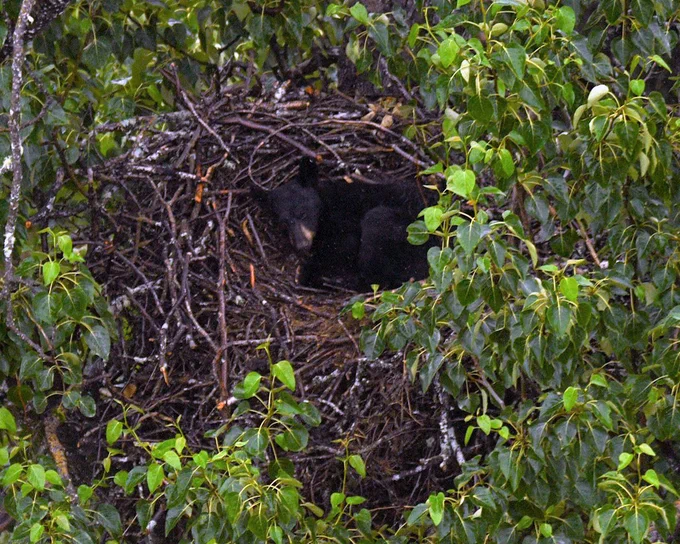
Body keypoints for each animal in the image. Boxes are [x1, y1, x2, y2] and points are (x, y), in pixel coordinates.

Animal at [256, 157, 434, 290]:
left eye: (303, 213)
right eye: (283, 223)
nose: (301, 245)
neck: (325, 206)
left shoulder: (344, 218)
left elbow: (345, 245)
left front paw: (309, 270)